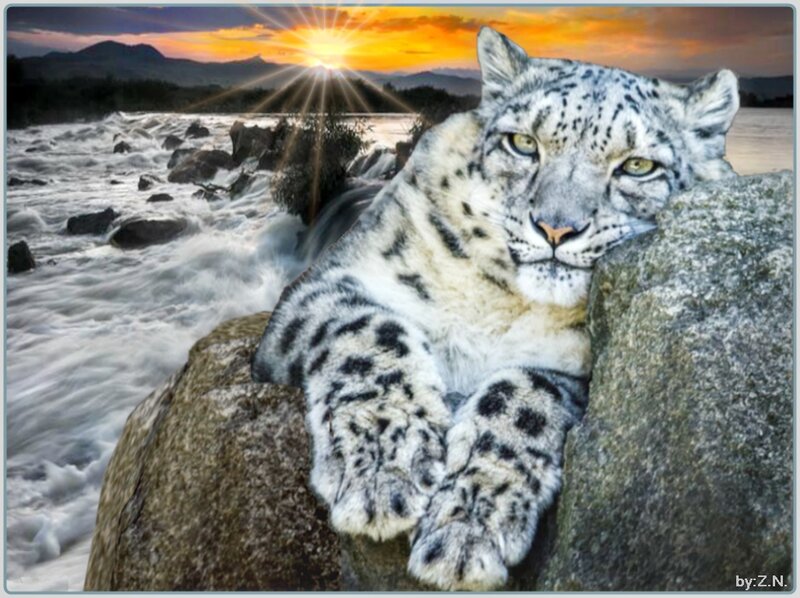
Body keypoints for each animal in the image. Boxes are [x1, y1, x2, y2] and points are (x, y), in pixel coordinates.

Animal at [251, 26, 739, 590]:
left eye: (638, 165)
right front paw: (383, 470)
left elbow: (523, 395)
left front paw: (468, 527)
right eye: (523, 143)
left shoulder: (591, 372)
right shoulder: (328, 282)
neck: (500, 306)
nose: (556, 227)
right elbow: (369, 335)